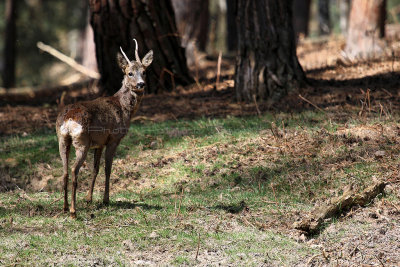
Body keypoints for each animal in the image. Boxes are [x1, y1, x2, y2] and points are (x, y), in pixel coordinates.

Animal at [54, 40, 152, 220]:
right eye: (129, 73)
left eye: (144, 71)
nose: (141, 84)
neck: (123, 107)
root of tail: (69, 120)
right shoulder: (113, 138)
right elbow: (108, 169)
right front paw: (106, 199)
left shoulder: (98, 143)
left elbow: (95, 169)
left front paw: (89, 198)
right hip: (82, 142)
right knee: (73, 170)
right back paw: (73, 211)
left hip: (62, 140)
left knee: (64, 171)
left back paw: (64, 207)